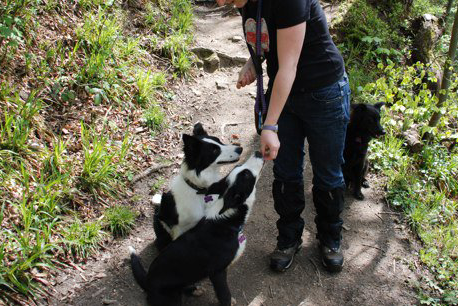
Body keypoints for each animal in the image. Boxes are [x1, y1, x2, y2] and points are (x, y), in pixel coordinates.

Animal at [129, 153, 264, 306]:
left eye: (240, 168)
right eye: (246, 175)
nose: (259, 153)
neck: (227, 220)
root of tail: (147, 281)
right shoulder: (217, 272)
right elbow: (224, 294)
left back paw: (194, 289)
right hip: (173, 299)